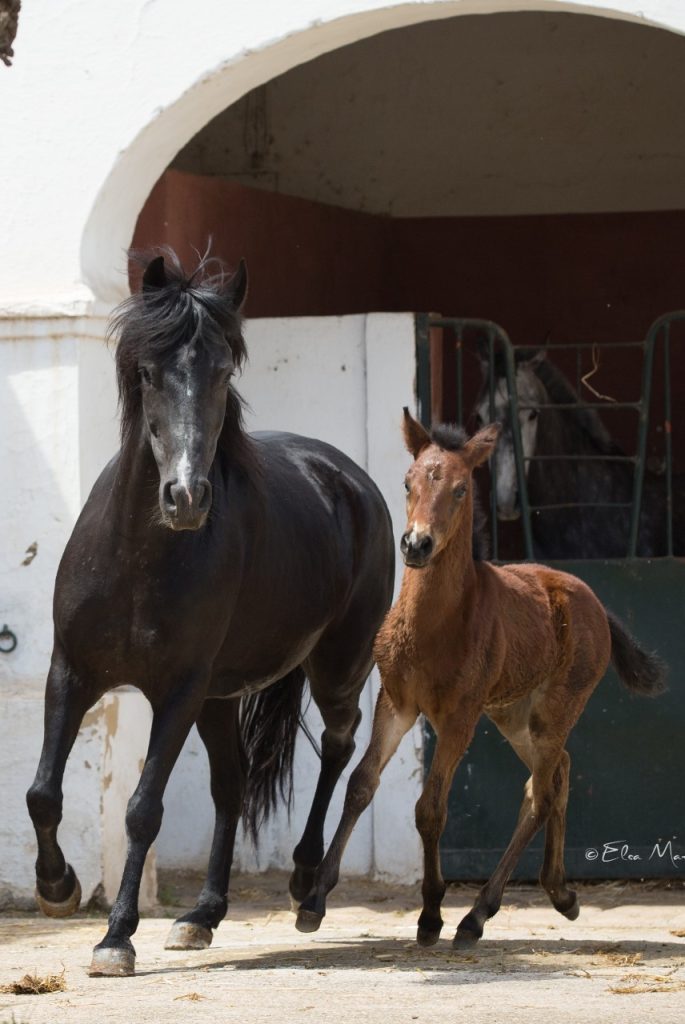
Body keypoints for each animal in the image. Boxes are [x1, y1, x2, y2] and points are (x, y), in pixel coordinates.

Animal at [25, 249, 395, 976]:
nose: (187, 496)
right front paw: (59, 888)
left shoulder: (178, 690)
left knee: (343, 748)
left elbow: (143, 809)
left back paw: (309, 885)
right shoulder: (71, 673)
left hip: (335, 665)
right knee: (233, 784)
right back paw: (202, 915)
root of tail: (347, 477)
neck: (137, 557)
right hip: (222, 697)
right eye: (148, 372)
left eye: (223, 372)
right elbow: (43, 792)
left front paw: (115, 937)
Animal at [294, 410, 665, 945]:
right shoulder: (397, 702)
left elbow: (430, 808)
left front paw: (431, 915)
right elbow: (361, 784)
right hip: (513, 714)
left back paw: (477, 914)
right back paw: (560, 893)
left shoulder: (459, 718)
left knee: (540, 792)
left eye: (461, 489)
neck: (436, 624)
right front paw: (314, 901)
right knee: (558, 772)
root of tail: (594, 602)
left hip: (555, 709)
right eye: (407, 482)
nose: (416, 544)